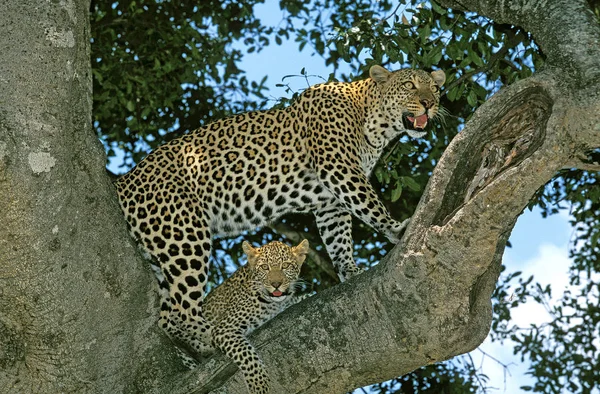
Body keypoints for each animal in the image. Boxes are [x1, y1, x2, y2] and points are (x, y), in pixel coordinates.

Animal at [116, 63, 446, 370]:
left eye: (434, 88)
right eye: (409, 85)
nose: (429, 103)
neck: (374, 123)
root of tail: (123, 182)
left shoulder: (329, 201)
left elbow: (338, 238)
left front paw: (349, 271)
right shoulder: (339, 169)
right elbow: (368, 203)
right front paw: (395, 229)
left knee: (165, 314)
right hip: (184, 237)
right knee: (180, 311)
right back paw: (209, 339)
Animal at [170, 239, 308, 392]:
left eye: (285, 266)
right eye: (265, 267)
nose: (276, 284)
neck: (274, 304)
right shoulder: (224, 329)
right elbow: (247, 355)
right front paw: (259, 386)